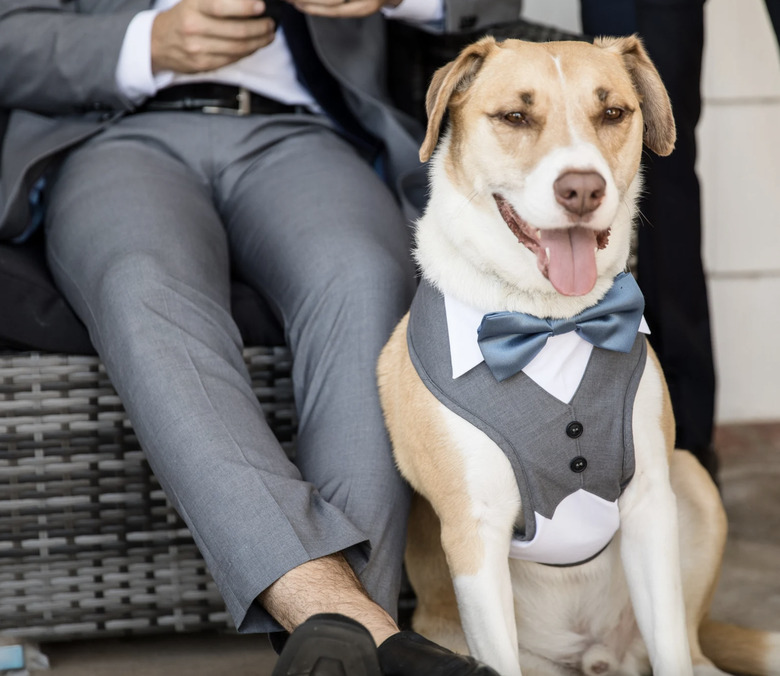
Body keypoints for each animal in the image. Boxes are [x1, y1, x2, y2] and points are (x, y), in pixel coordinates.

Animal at [378, 35, 780, 676]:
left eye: (612, 112)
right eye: (515, 117)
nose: (583, 189)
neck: (551, 323)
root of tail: (596, 657)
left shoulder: (649, 506)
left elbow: (669, 643)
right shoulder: (474, 536)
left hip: (690, 480)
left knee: (687, 650)